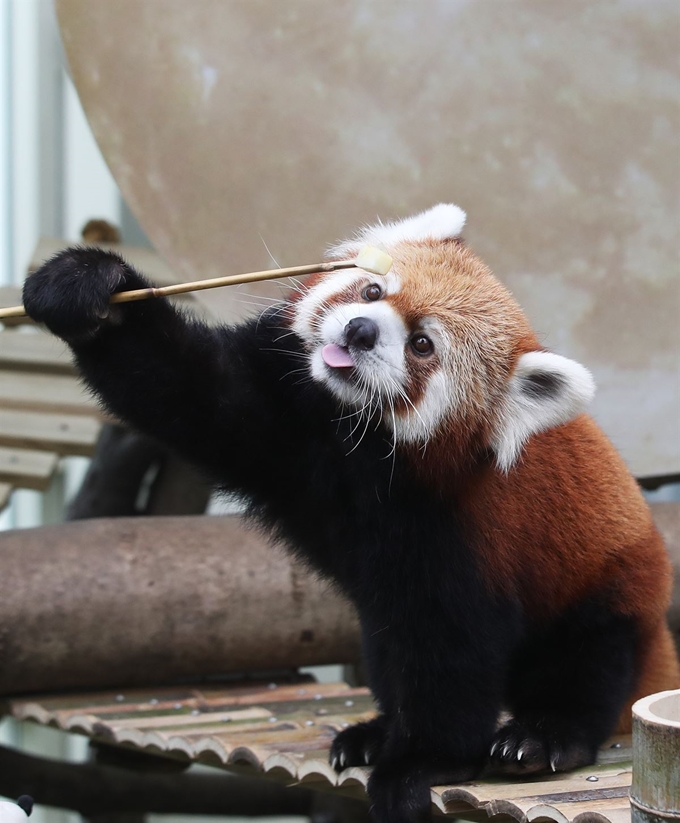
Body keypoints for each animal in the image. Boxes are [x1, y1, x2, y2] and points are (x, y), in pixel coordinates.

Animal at [22, 206, 680, 823]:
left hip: (606, 586)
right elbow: (190, 390)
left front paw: (423, 763)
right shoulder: (277, 406)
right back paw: (378, 730)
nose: (361, 331)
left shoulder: (459, 530)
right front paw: (89, 288)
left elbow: (452, 646)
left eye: (422, 344)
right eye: (371, 291)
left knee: (586, 662)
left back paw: (542, 737)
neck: (349, 437)